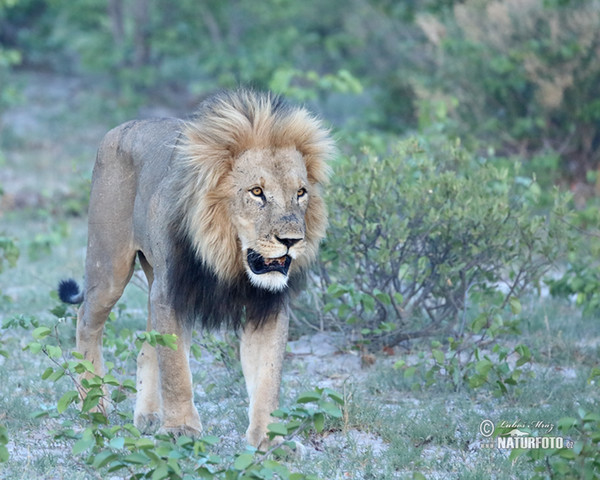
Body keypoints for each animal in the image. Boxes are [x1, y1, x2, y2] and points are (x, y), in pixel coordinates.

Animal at [57, 88, 332, 448]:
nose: (291, 240)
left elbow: (268, 376)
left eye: (300, 193)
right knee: (86, 320)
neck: (229, 257)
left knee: (145, 343)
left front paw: (270, 439)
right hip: (109, 267)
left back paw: (148, 415)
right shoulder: (171, 293)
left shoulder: (267, 306)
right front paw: (181, 430)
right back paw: (93, 407)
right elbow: (175, 368)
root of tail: (121, 127)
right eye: (257, 192)